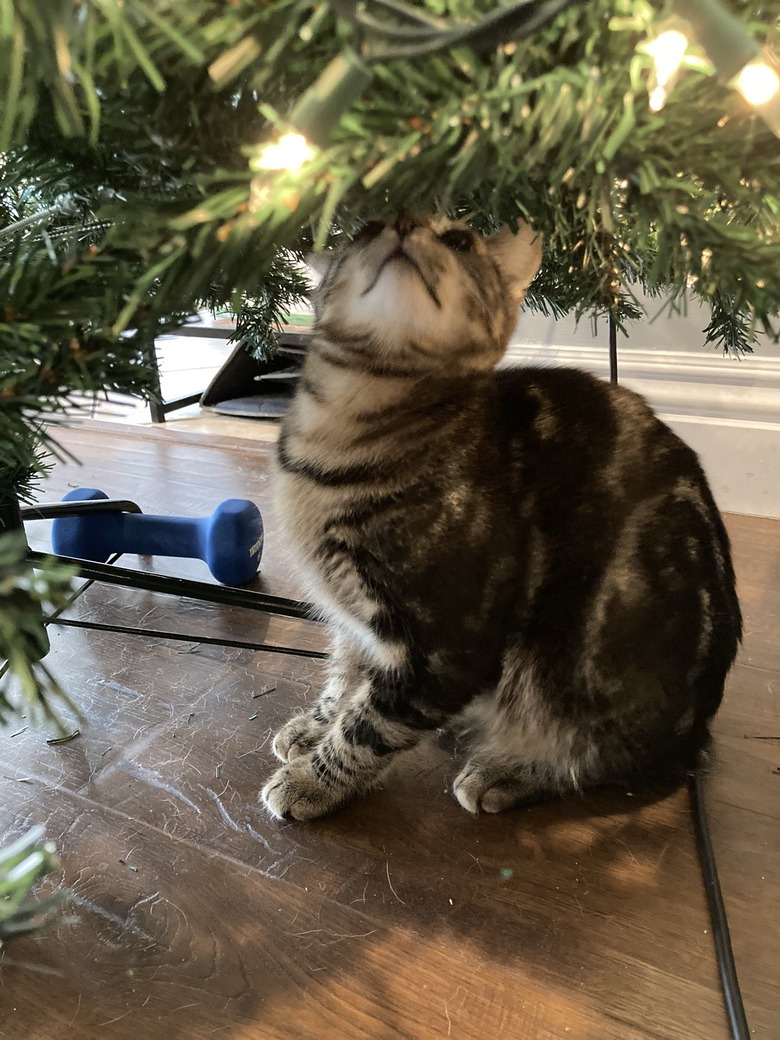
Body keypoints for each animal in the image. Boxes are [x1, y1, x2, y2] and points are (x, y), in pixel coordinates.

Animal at [260, 209, 740, 819]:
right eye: (367, 228)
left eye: (458, 240)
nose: (403, 222)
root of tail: (700, 728)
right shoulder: (355, 620)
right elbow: (345, 674)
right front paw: (315, 727)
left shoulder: (446, 644)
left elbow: (372, 726)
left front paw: (314, 779)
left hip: (572, 661)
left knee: (603, 756)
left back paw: (509, 770)